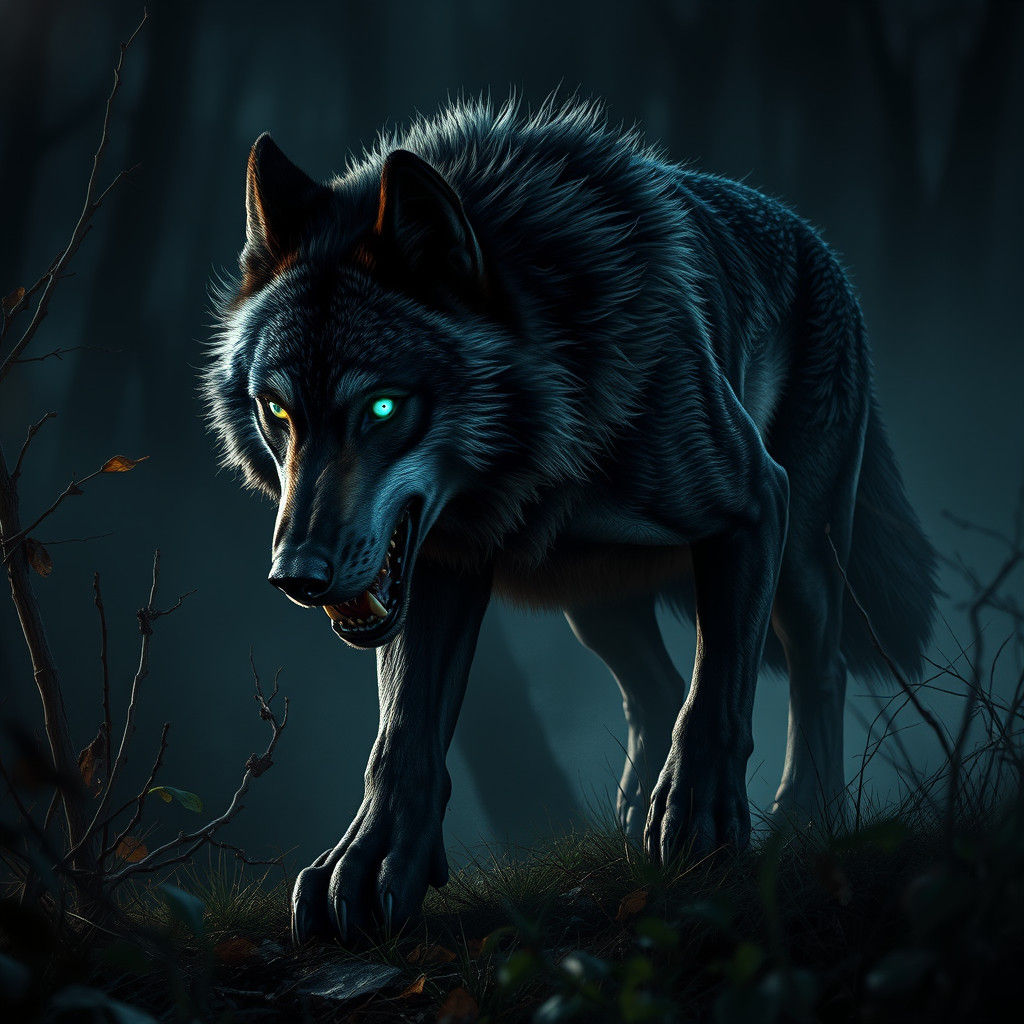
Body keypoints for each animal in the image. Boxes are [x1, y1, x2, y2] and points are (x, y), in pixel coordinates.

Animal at [204, 97, 937, 944]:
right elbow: (402, 734)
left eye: (382, 407)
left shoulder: (755, 504)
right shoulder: (440, 562)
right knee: (653, 691)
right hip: (592, 602)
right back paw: (631, 820)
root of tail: (819, 244)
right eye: (277, 411)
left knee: (818, 673)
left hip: (803, 566)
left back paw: (807, 823)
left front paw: (701, 825)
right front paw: (370, 865)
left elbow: (718, 693)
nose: (297, 576)